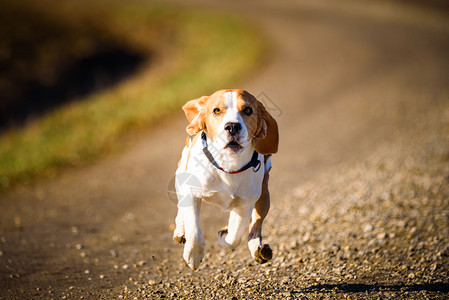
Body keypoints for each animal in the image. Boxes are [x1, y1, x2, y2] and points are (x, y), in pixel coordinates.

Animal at [172, 89, 276, 270]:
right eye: (216, 111)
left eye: (248, 110)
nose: (233, 126)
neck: (228, 165)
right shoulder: (191, 191)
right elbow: (194, 229)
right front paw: (194, 254)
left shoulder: (244, 204)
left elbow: (234, 236)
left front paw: (224, 235)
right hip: (181, 173)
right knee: (181, 209)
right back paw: (180, 229)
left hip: (264, 196)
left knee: (255, 225)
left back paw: (258, 249)